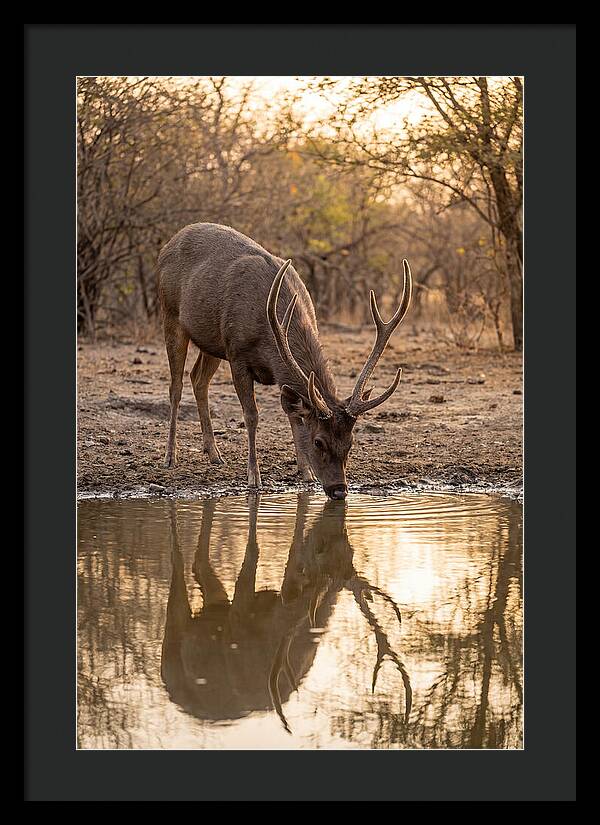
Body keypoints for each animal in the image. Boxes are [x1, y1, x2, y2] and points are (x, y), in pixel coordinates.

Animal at [157, 223, 412, 500]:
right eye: (318, 441)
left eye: (351, 442)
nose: (339, 490)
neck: (268, 334)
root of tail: (168, 244)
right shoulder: (237, 354)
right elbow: (252, 415)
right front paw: (254, 477)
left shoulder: (271, 369)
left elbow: (294, 415)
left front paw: (306, 473)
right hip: (171, 314)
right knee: (176, 386)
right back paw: (170, 457)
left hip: (211, 341)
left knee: (198, 379)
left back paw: (214, 454)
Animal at [161, 494, 412, 734]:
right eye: (321, 548)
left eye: (351, 550)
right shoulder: (236, 624)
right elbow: (255, 553)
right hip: (173, 647)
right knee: (178, 573)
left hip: (215, 606)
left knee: (199, 566)